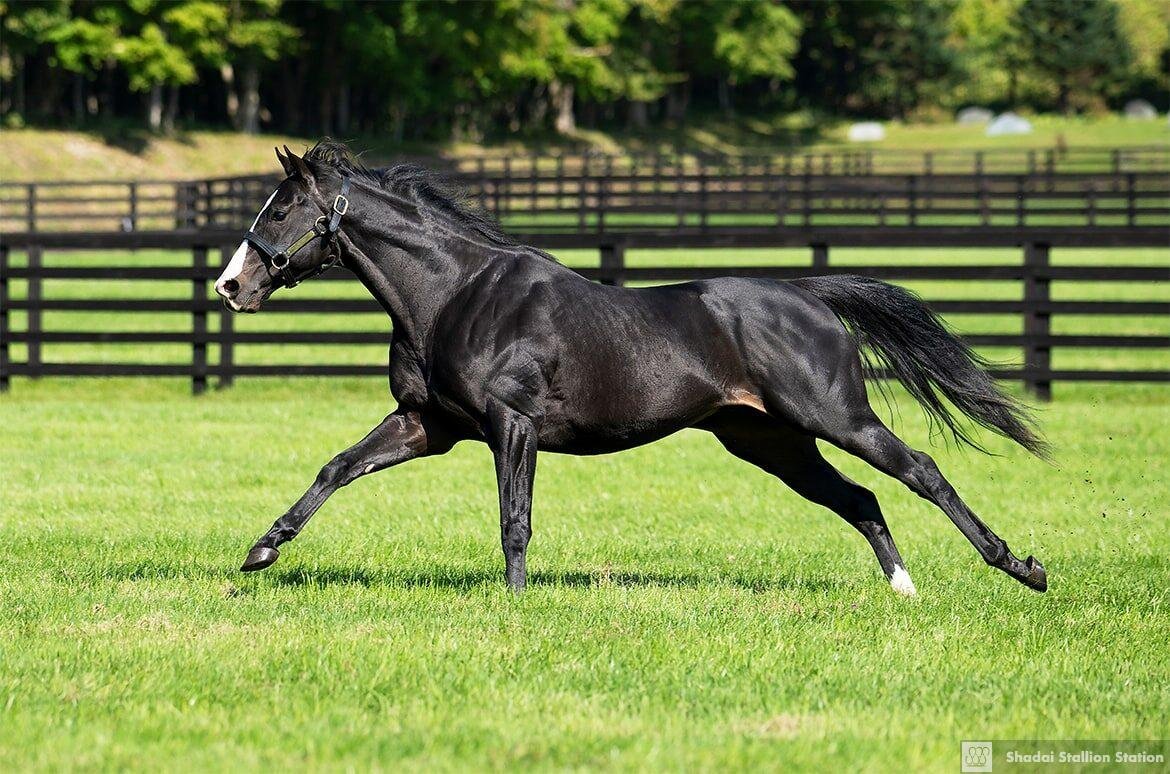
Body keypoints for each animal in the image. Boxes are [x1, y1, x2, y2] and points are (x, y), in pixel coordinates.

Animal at [215, 141, 1050, 597]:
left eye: (281, 210)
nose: (230, 286)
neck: (455, 292)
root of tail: (807, 296)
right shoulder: (427, 425)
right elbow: (336, 468)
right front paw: (261, 551)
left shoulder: (511, 424)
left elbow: (514, 519)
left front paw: (515, 602)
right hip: (771, 441)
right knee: (862, 498)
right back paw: (903, 588)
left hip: (836, 416)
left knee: (920, 471)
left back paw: (1022, 567)